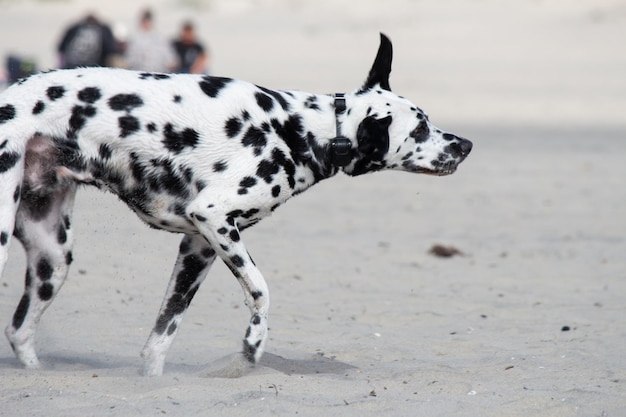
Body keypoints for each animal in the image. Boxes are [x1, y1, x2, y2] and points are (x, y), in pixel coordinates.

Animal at [0, 34, 468, 376]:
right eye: (421, 128)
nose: (465, 145)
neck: (300, 130)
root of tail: (11, 94)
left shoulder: (199, 247)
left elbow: (162, 334)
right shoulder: (215, 220)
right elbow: (261, 291)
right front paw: (252, 347)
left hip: (53, 260)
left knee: (19, 331)